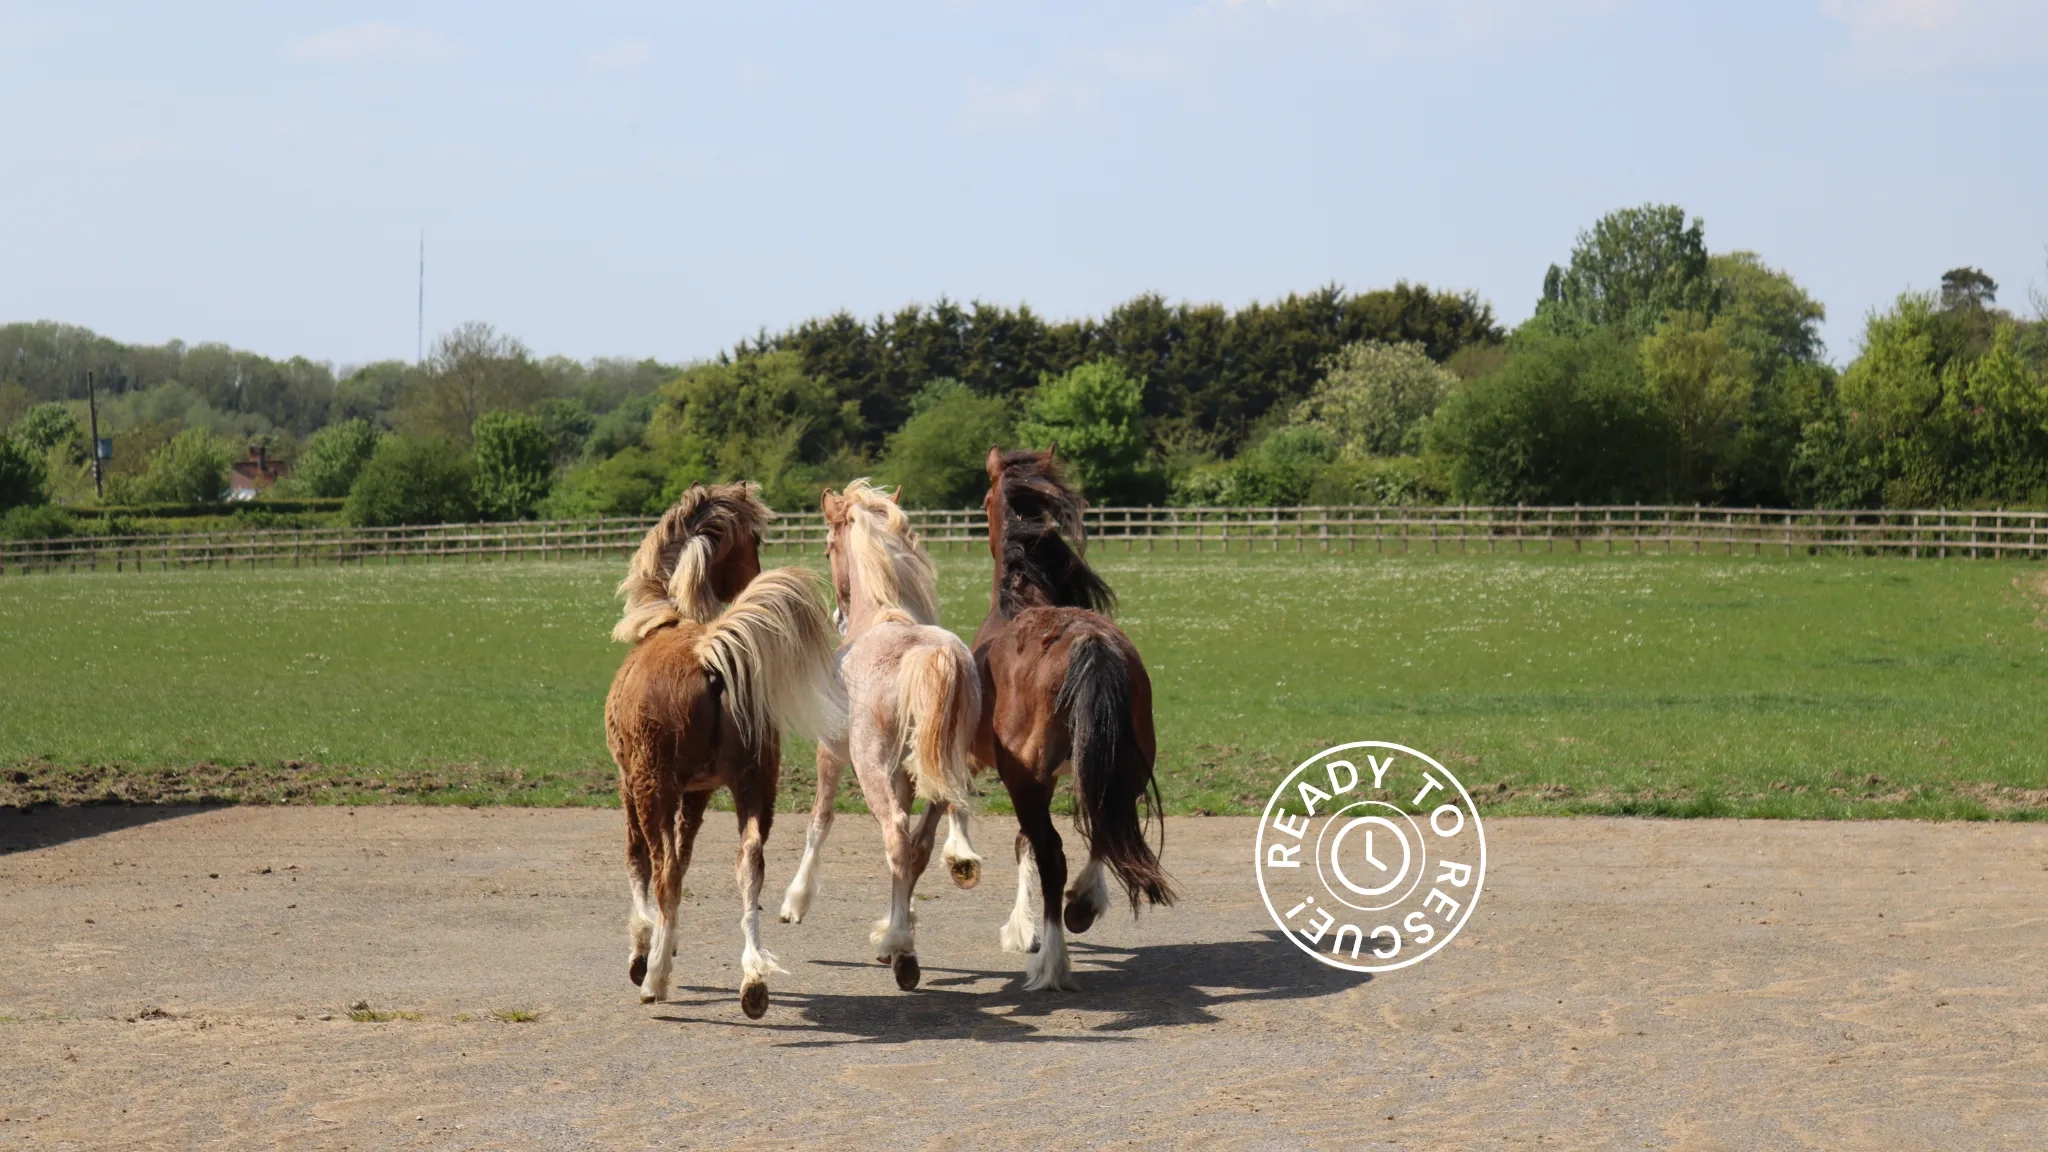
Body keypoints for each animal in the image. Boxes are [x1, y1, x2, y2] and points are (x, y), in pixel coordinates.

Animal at [605, 481, 845, 1018]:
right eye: (754, 541)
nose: (751, 576)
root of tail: (707, 656)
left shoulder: (630, 785)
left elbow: (639, 863)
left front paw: (643, 949)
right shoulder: (698, 792)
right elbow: (686, 857)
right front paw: (667, 939)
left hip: (653, 787)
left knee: (663, 870)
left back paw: (655, 980)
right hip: (754, 784)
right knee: (749, 863)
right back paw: (753, 981)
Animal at [776, 479, 984, 991]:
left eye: (827, 547)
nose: (837, 615)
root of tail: (929, 657)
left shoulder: (829, 753)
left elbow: (819, 821)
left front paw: (795, 902)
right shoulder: (907, 776)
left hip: (869, 768)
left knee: (895, 834)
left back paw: (901, 950)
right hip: (938, 773)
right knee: (918, 844)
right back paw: (896, 937)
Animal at [975, 446, 1174, 991]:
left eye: (983, 500)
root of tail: (1089, 641)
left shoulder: (1022, 779)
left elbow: (1025, 845)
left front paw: (1021, 931)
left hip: (1027, 780)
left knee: (1051, 854)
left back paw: (1051, 963)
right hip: (1125, 764)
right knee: (1106, 825)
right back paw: (1083, 906)